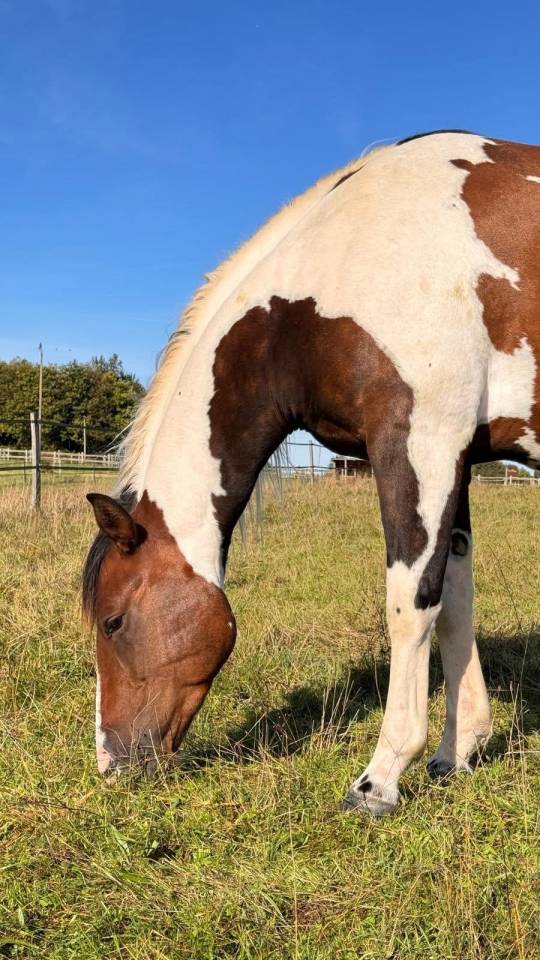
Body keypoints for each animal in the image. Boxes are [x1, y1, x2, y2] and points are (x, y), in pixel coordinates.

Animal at [83, 130, 540, 816]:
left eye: (113, 622)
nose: (112, 764)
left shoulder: (420, 443)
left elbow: (411, 603)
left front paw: (381, 777)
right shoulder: (455, 459)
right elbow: (455, 601)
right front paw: (456, 753)